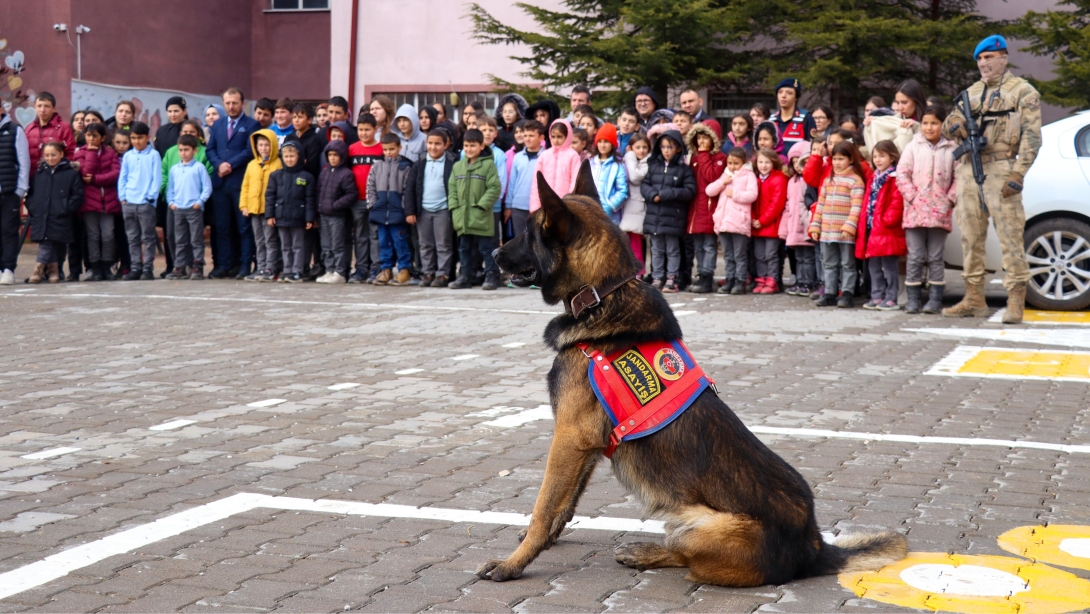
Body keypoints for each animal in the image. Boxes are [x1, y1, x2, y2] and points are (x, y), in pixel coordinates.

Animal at [481, 162, 906, 584]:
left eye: (528, 232)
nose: (494, 252)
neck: (602, 295)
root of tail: (814, 546)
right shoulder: (584, 445)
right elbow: (564, 506)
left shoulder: (568, 437)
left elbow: (543, 507)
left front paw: (513, 563)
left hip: (699, 525)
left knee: (685, 558)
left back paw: (643, 552)